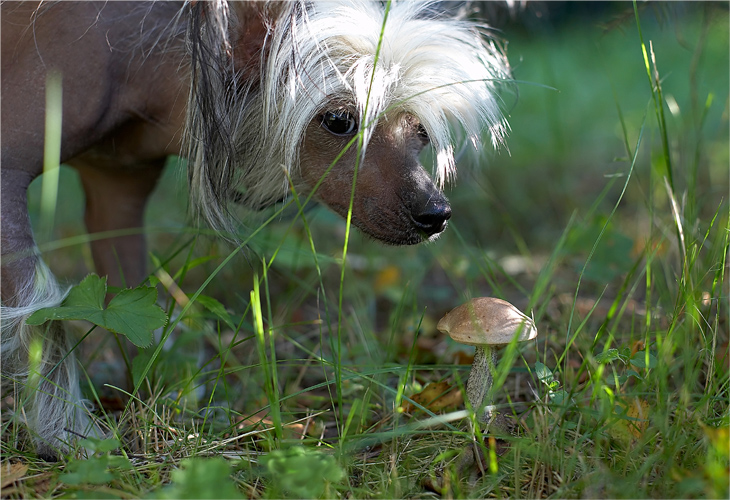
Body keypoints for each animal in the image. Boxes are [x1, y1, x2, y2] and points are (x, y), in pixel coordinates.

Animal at [0, 0, 510, 460]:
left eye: (420, 132)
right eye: (339, 121)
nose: (436, 213)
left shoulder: (117, 195)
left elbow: (128, 306)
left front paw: (149, 399)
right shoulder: (8, 171)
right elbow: (42, 317)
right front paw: (69, 433)